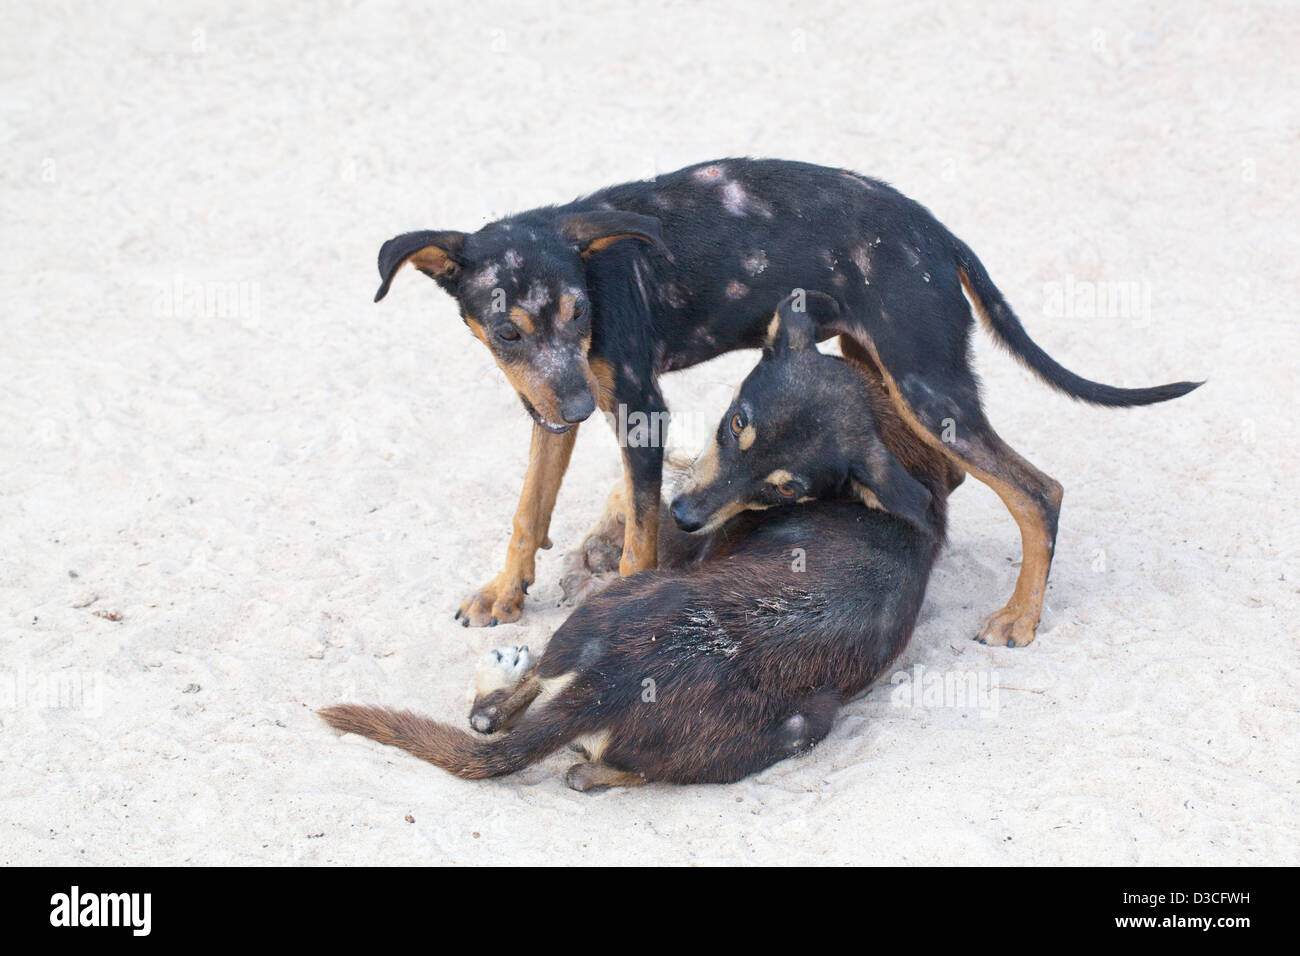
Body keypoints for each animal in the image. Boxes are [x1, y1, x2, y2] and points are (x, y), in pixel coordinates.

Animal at [321, 299, 961, 790]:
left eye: (788, 489)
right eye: (736, 422)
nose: (682, 517)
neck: (893, 436)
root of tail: (607, 689)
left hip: (775, 700)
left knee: (504, 725)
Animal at [377, 158, 1196, 650]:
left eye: (580, 313)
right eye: (507, 331)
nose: (578, 410)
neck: (597, 271)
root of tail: (938, 236)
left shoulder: (639, 410)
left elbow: (640, 539)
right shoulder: (549, 405)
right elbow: (528, 508)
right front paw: (504, 592)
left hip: (926, 383)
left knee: (1036, 490)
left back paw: (1022, 617)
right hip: (880, 368)